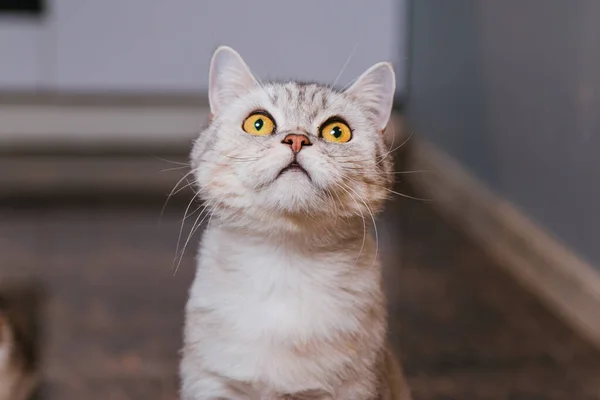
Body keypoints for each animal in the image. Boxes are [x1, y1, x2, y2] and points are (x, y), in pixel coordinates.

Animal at [179, 45, 412, 398]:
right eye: (258, 123)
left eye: (337, 131)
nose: (297, 140)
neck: (285, 264)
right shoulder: (213, 382)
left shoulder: (354, 387)